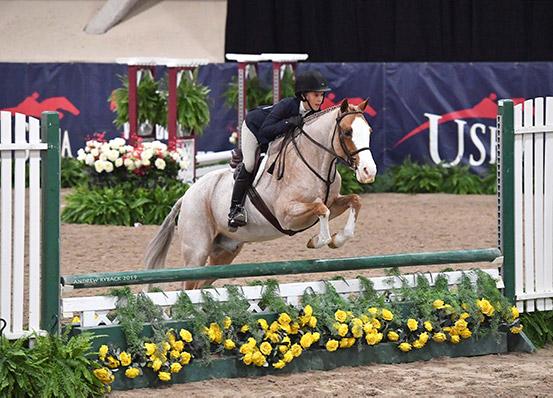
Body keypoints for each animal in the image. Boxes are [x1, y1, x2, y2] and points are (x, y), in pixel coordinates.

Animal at [142, 97, 378, 290]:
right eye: (347, 132)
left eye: (369, 131)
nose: (369, 172)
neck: (315, 160)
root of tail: (187, 195)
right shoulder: (287, 216)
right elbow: (322, 209)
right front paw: (317, 241)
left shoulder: (333, 202)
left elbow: (354, 201)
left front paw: (337, 240)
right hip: (196, 251)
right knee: (188, 286)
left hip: (223, 253)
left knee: (201, 285)